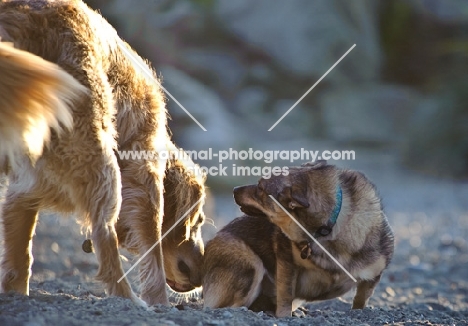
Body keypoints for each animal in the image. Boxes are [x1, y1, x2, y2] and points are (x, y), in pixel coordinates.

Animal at [0, 0, 206, 306]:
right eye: (197, 221)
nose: (203, 276)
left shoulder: (24, 189)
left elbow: (21, 253)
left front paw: (17, 292)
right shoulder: (145, 178)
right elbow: (153, 249)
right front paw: (158, 301)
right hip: (101, 160)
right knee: (105, 235)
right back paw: (129, 298)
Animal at [203, 162, 394, 318]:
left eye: (260, 188)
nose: (234, 189)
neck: (326, 229)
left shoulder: (373, 276)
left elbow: (361, 299)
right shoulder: (286, 263)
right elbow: (286, 295)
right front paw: (284, 316)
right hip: (251, 265)